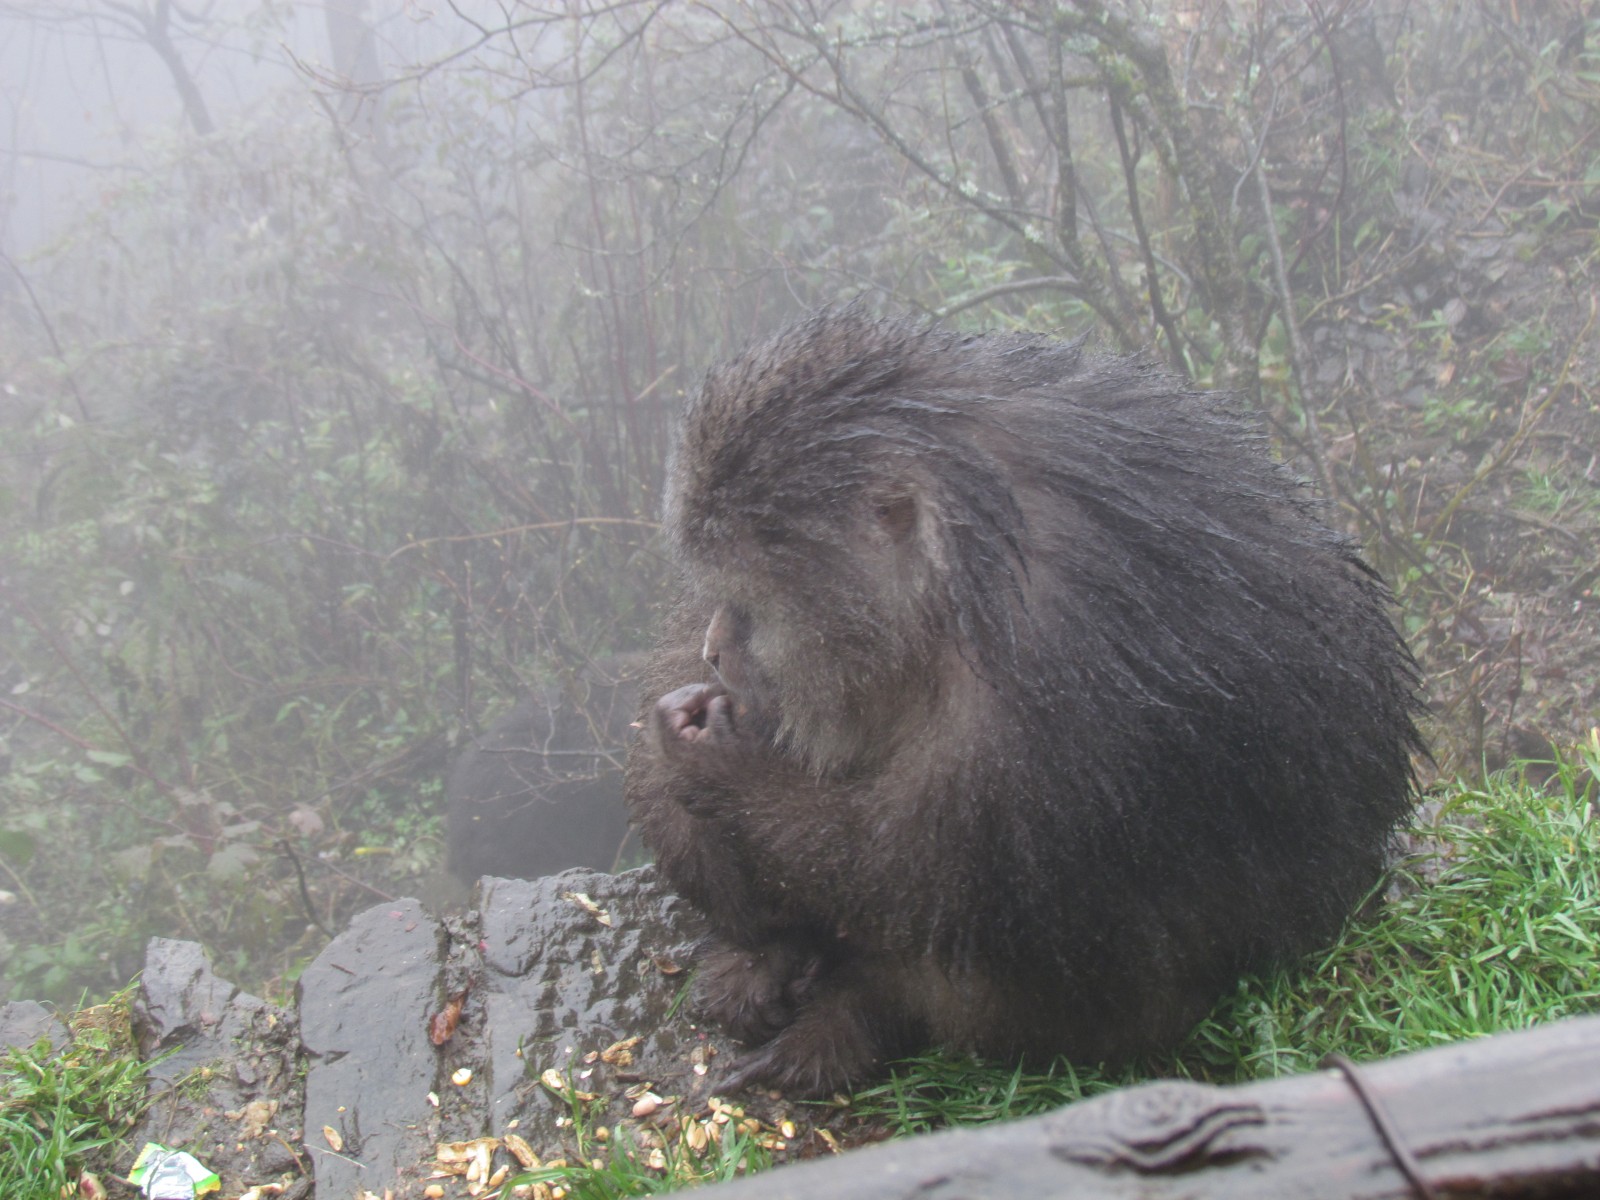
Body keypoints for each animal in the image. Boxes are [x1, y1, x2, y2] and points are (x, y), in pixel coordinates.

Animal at [625, 310, 1423, 1097]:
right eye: (720, 592)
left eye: (753, 605)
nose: (715, 649)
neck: (962, 588)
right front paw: (687, 767)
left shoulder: (1051, 689)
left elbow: (929, 880)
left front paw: (719, 769)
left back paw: (854, 1016)